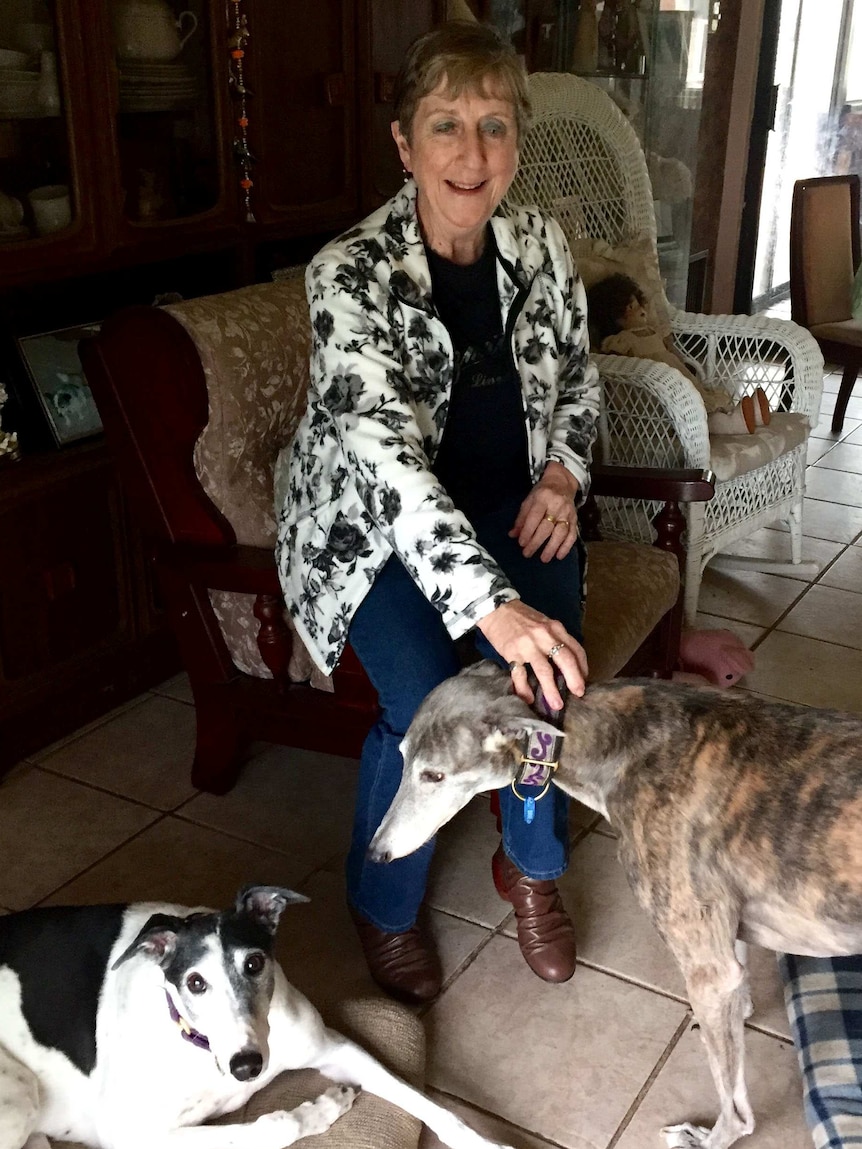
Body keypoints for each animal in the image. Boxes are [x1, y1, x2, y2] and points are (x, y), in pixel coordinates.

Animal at [0, 887, 512, 1149]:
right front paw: (319, 1110)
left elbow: (435, 1109)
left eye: (253, 964)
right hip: (20, 1092)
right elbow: (272, 1126)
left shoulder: (336, 1049)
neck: (198, 1046)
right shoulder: (132, 1133)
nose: (247, 1067)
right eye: (195, 983)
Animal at [365, 666, 862, 1149]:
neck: (618, 742)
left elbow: (736, 1115)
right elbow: (737, 994)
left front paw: (704, 1139)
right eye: (402, 757)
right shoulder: (724, 944)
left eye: (434, 775)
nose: (375, 855)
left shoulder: (708, 971)